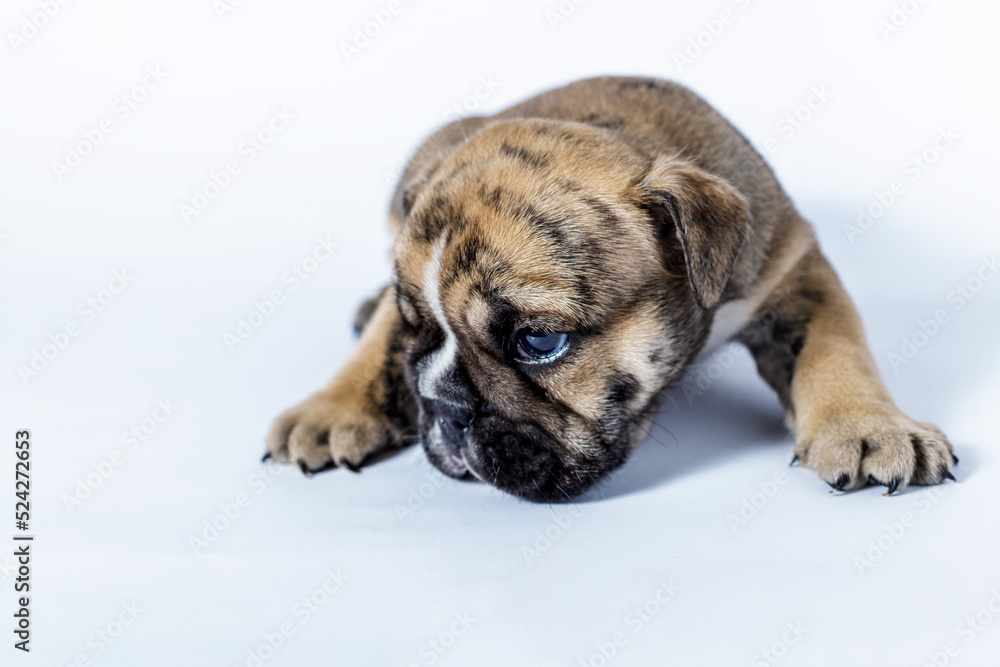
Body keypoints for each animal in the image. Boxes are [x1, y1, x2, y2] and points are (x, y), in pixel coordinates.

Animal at [264, 76, 956, 501]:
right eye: (419, 329)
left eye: (539, 341)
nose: (447, 410)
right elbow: (381, 341)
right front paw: (333, 407)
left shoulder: (793, 270)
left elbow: (836, 346)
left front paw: (869, 425)